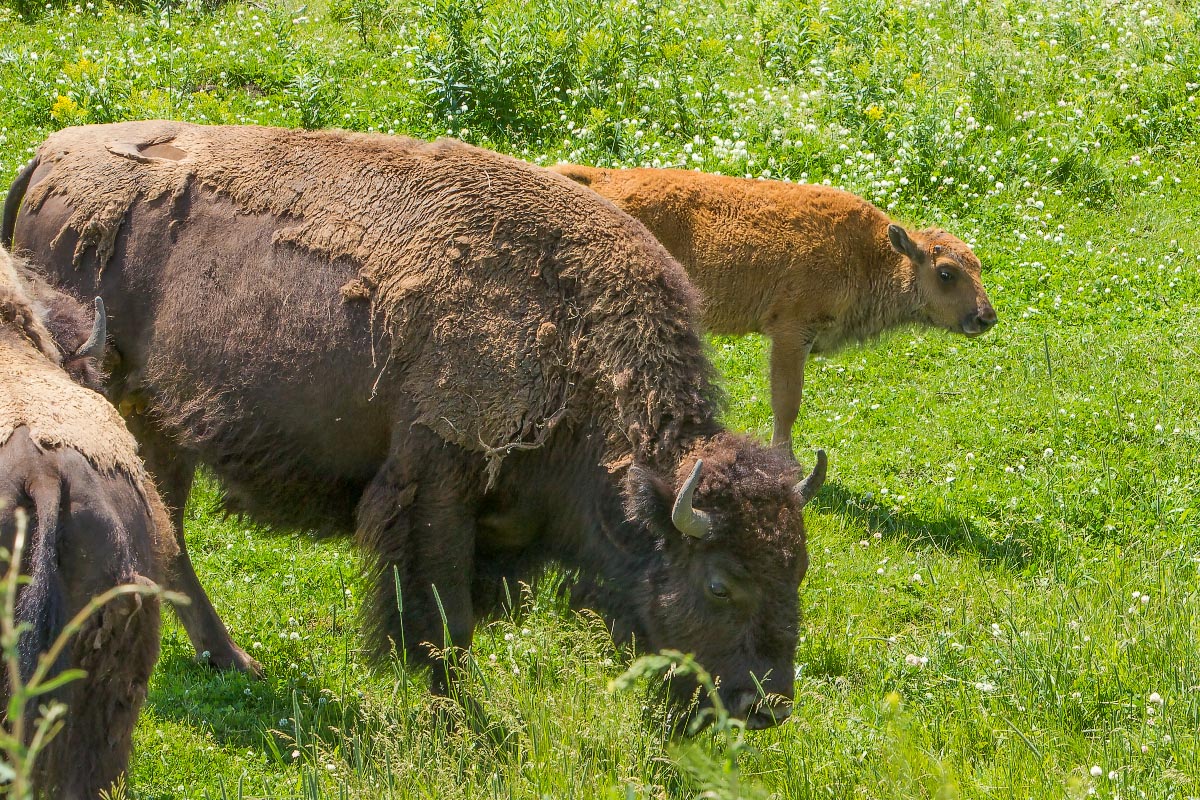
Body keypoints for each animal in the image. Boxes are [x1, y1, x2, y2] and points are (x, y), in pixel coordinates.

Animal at [2, 122, 825, 729]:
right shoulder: (435, 484)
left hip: (159, 422)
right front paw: (449, 709)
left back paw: (226, 658)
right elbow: (442, 616)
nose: (769, 705)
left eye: (799, 569)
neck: (576, 342)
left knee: (169, 529)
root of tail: (47, 156)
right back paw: (227, 658)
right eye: (721, 584)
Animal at [549, 165, 998, 453]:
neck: (872, 254)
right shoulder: (789, 333)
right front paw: (788, 461)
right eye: (946, 273)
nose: (985, 317)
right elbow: (787, 403)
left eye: (978, 265)